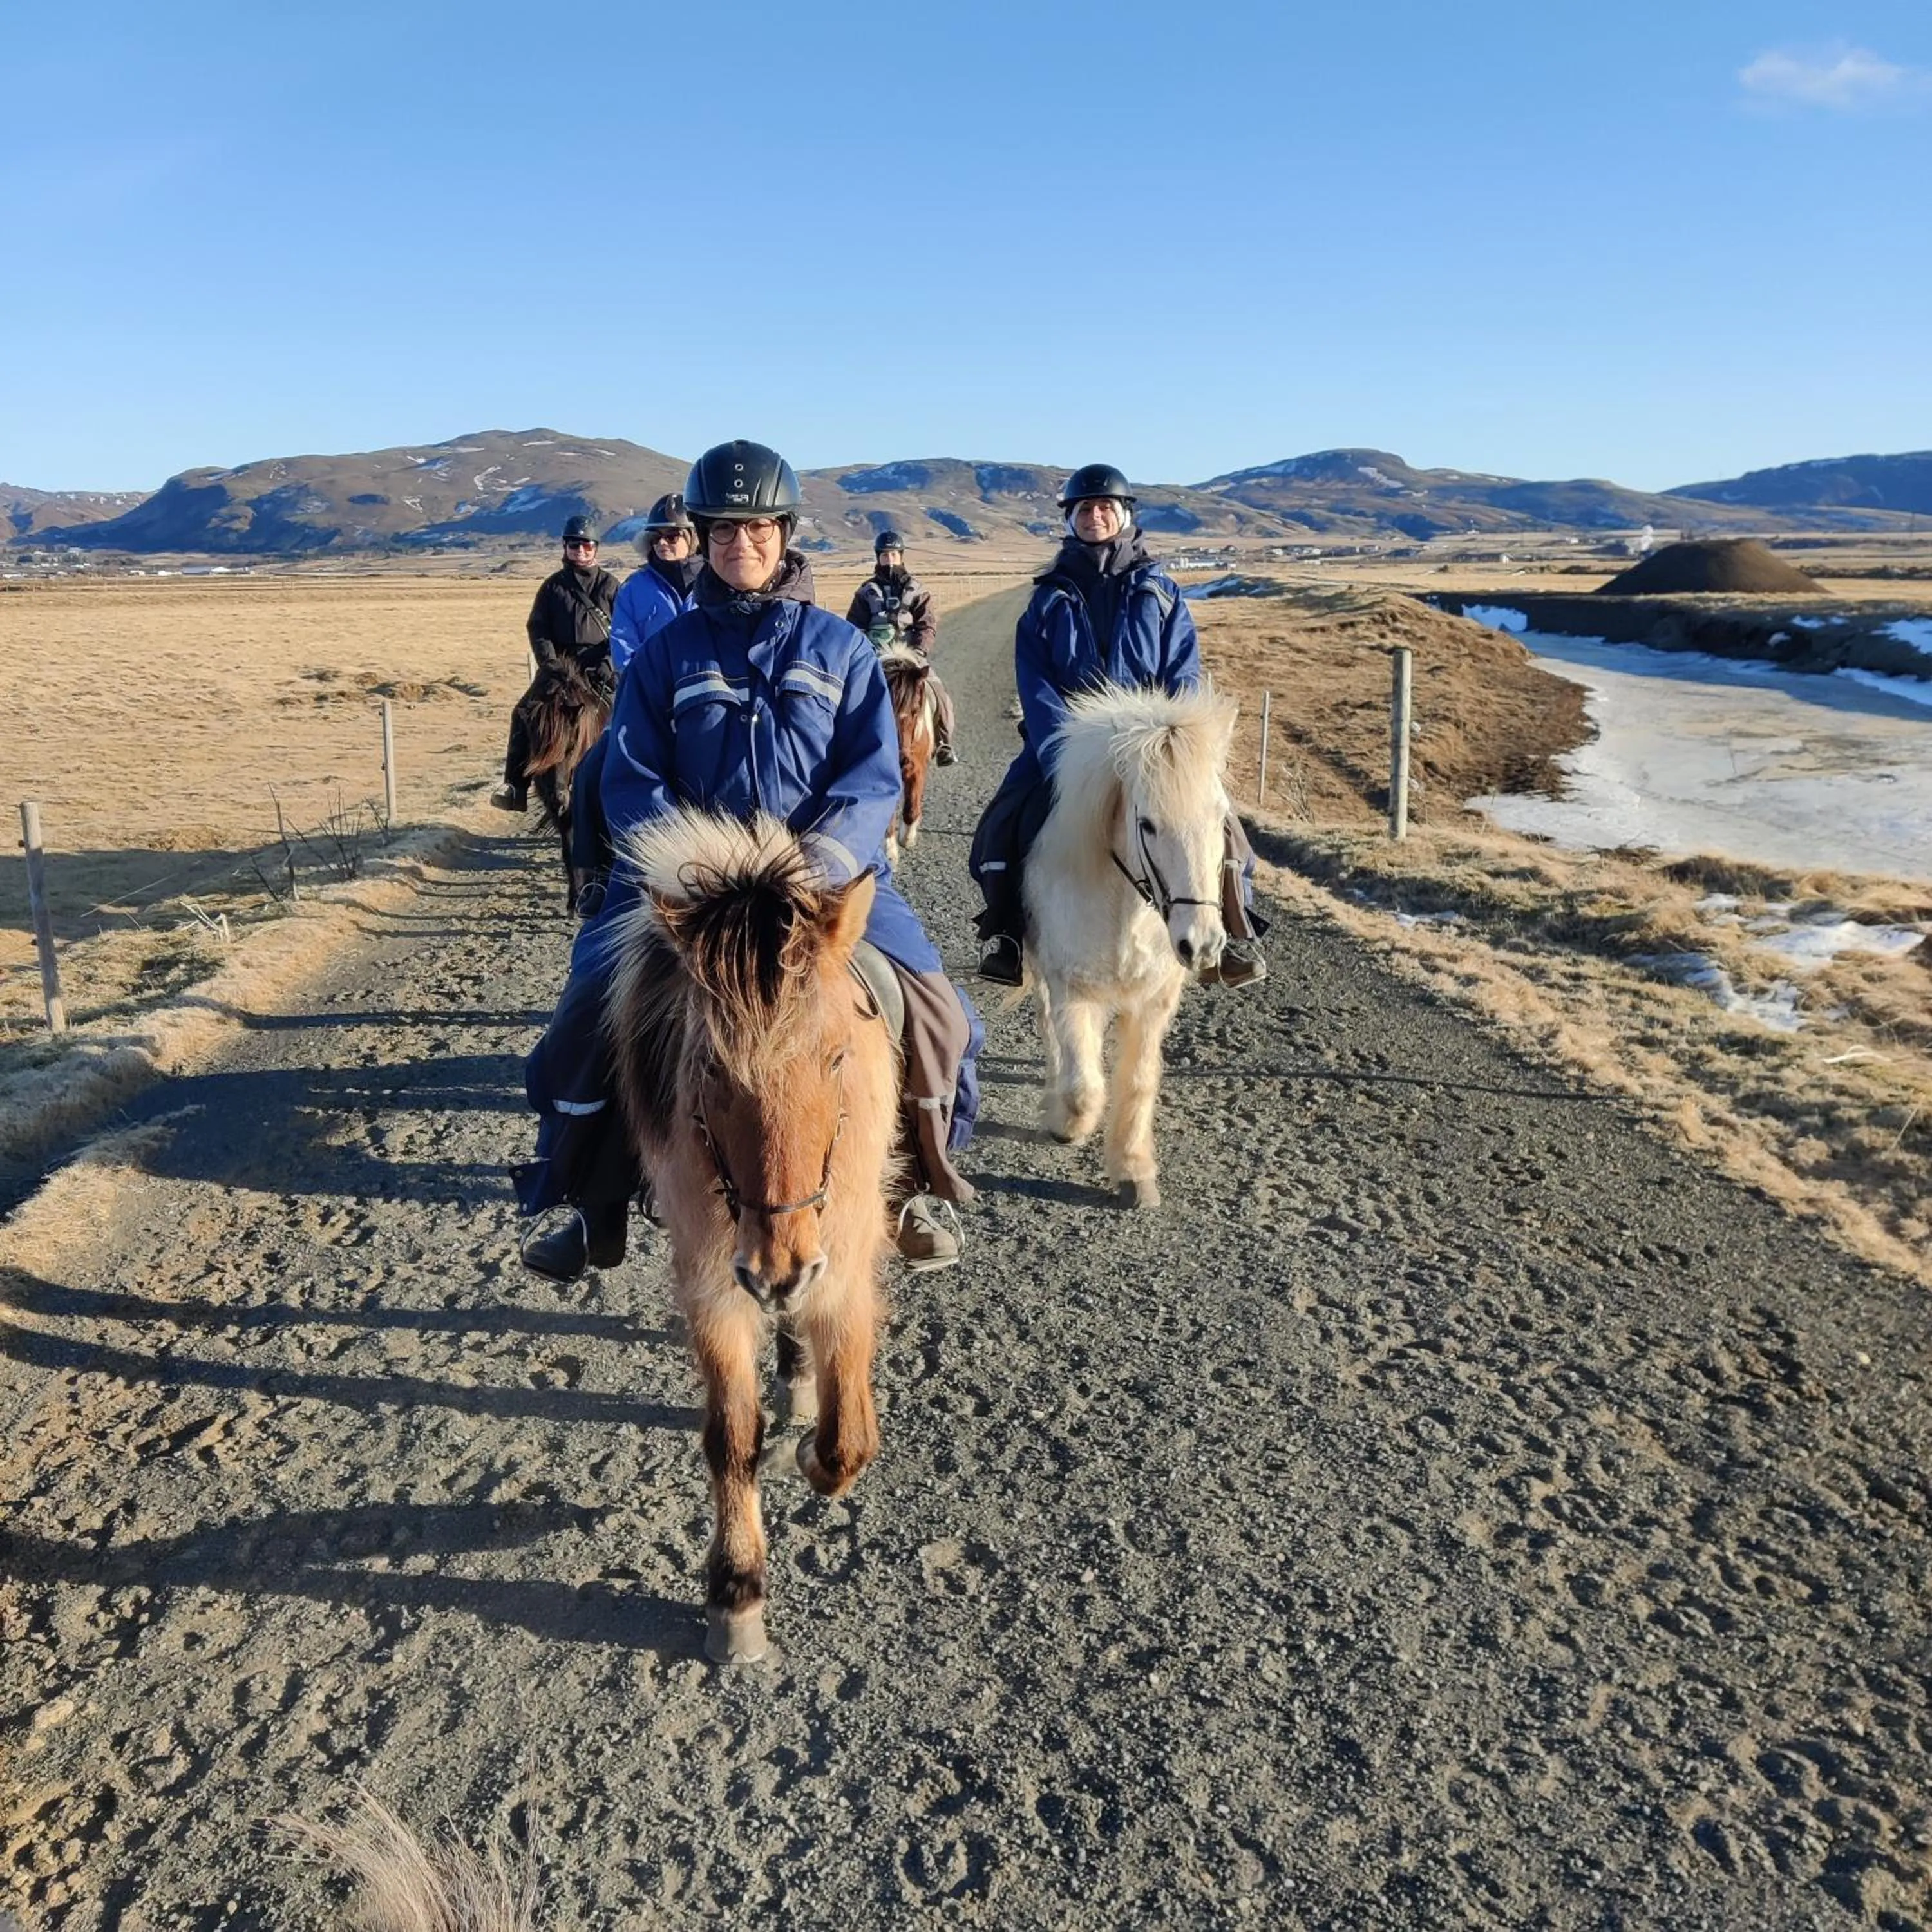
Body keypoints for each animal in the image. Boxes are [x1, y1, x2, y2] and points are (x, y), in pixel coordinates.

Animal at [522, 659, 611, 914]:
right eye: (537, 752)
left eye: (571, 747)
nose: (559, 800)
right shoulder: (562, 815)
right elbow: (569, 852)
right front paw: (574, 899)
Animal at [604, 808, 898, 1665]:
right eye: (710, 1070)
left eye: (836, 1057)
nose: (779, 1269)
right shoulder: (712, 1281)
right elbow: (732, 1435)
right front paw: (737, 1592)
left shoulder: (846, 1264)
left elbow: (847, 1439)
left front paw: (808, 1451)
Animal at [877, 640, 937, 865]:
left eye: (914, 711)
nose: (899, 760)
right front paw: (889, 852)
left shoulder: (917, 769)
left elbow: (911, 808)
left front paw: (907, 838)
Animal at [1023, 682, 1238, 1209]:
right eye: (1148, 825)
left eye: (1221, 819)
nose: (1202, 944)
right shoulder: (1072, 988)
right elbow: (1084, 1085)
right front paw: (1070, 1125)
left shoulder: (1155, 1000)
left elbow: (1139, 1080)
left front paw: (1133, 1169)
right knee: (1051, 1032)